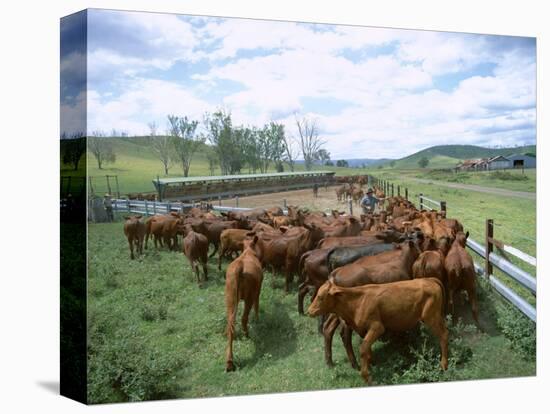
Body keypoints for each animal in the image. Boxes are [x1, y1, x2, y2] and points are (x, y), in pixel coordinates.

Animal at [226, 236, 266, 372]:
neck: (248, 251)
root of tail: (240, 265)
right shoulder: (257, 291)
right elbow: (257, 306)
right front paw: (258, 320)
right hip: (249, 296)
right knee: (244, 318)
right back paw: (247, 335)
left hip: (230, 298)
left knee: (230, 324)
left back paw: (229, 363)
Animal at [308, 276, 450, 386]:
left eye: (320, 297)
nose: (309, 311)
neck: (357, 302)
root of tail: (429, 279)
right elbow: (367, 350)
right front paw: (371, 366)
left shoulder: (377, 327)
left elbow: (363, 348)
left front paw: (367, 377)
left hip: (431, 317)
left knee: (443, 335)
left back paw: (444, 365)